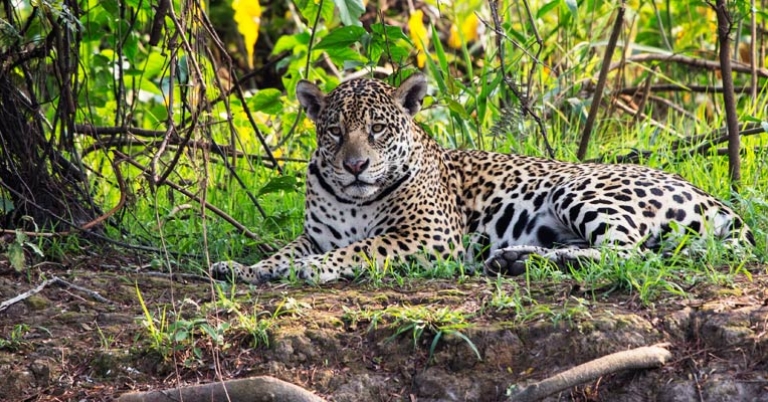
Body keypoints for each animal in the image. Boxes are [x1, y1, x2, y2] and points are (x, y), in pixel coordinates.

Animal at [212, 73, 754, 284]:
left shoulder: (426, 235)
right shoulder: (314, 235)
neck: (353, 200)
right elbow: (280, 253)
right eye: (335, 132)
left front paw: (315, 269)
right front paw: (243, 269)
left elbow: (361, 248)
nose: (355, 166)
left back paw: (521, 260)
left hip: (580, 188)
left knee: (630, 254)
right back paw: (515, 259)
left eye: (378, 130)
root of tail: (719, 203)